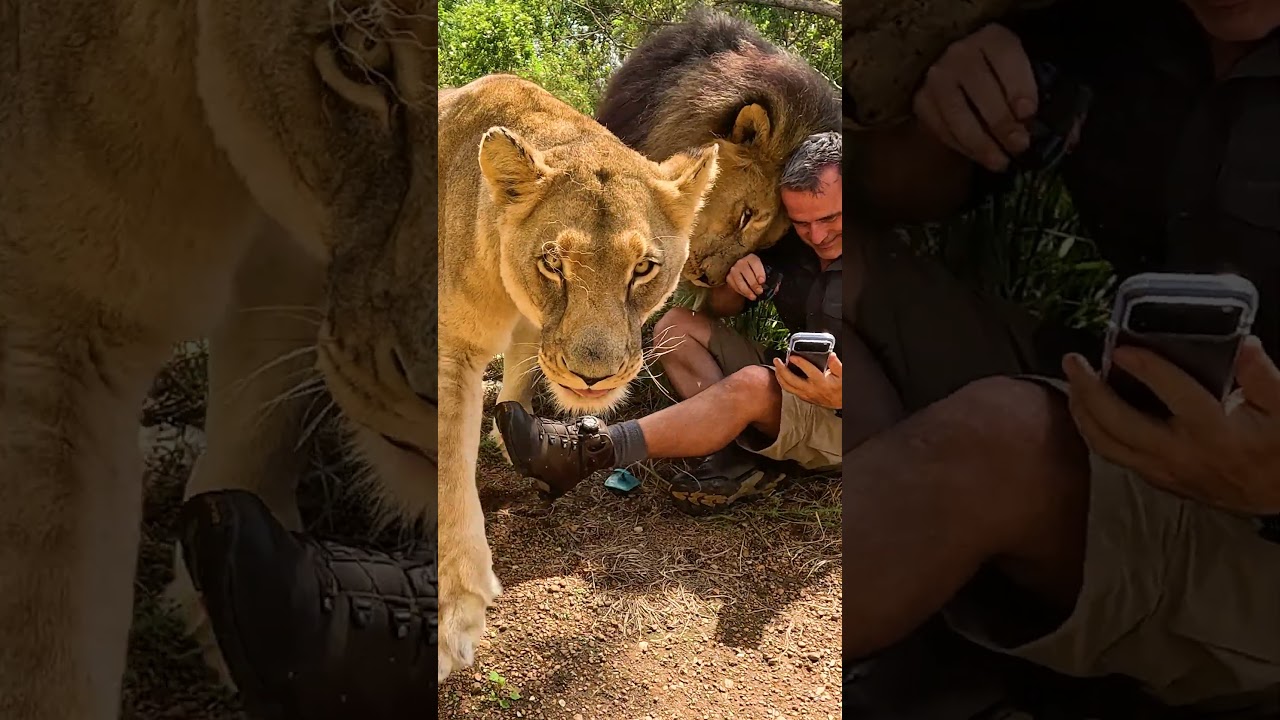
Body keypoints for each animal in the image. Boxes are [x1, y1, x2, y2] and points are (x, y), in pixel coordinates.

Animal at [436, 73, 718, 681]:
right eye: (553, 263)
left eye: (643, 268)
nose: (593, 379)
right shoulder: (450, 346)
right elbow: (449, 477)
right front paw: (455, 614)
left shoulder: (528, 329)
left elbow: (523, 365)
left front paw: (513, 431)